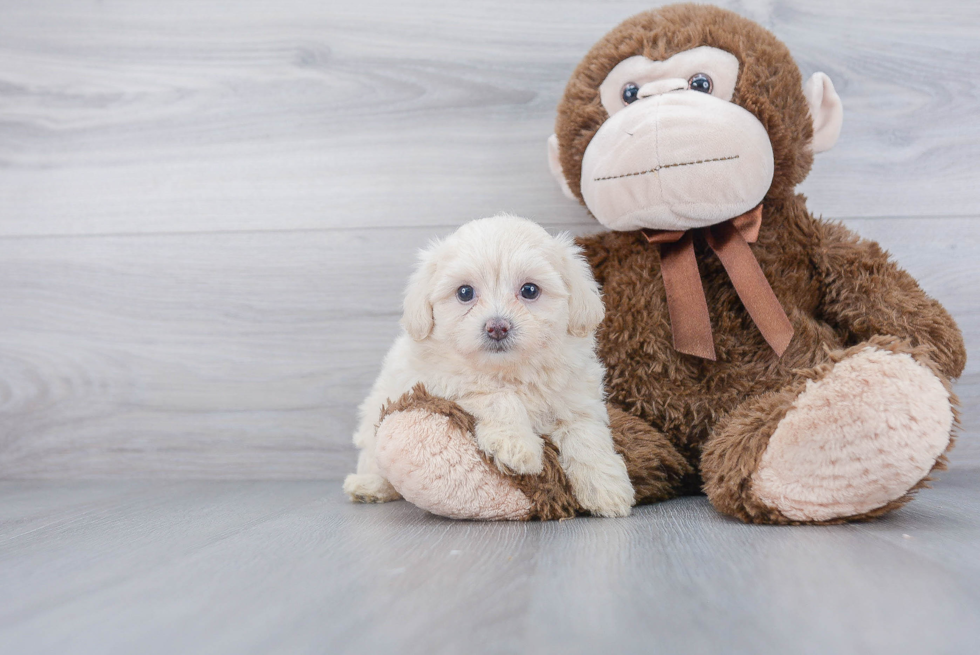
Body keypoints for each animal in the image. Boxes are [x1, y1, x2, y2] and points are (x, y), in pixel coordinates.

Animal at [344, 215, 636, 516]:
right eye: (464, 292)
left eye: (529, 290)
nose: (497, 327)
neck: (510, 370)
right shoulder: (440, 381)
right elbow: (498, 397)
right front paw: (517, 447)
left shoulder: (577, 398)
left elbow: (587, 435)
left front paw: (605, 487)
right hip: (375, 416)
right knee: (373, 455)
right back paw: (369, 486)